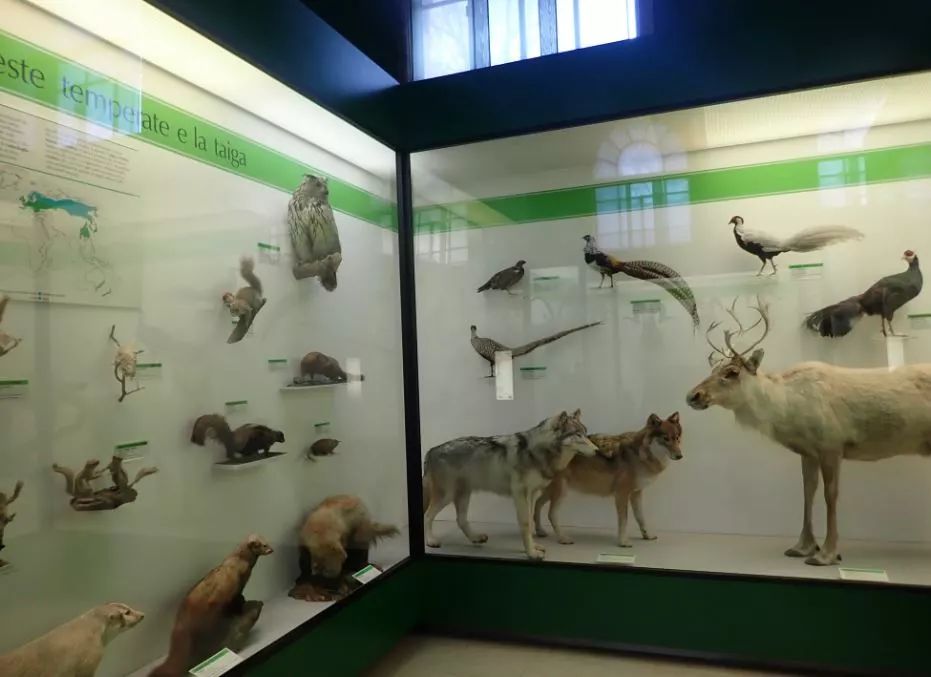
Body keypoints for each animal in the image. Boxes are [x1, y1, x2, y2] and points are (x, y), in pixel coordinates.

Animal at [422, 409, 597, 560]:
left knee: (461, 520)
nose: (597, 451)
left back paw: (475, 538)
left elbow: (530, 521)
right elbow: (526, 523)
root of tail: (431, 450)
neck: (537, 451)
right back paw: (431, 541)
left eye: (585, 433)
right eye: (577, 434)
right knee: (427, 515)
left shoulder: (531, 495)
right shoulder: (520, 494)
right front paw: (531, 553)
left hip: (464, 494)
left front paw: (534, 547)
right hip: (447, 495)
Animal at [534, 412, 682, 547]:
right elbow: (624, 521)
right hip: (561, 492)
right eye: (666, 438)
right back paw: (563, 538)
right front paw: (623, 542)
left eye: (677, 438)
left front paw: (647, 536)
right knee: (551, 514)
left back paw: (539, 531)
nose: (680, 456)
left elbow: (641, 518)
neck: (640, 455)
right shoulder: (621, 494)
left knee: (537, 504)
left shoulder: (636, 494)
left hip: (551, 492)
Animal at [685, 297, 931, 565]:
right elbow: (807, 492)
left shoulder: (832, 445)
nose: (693, 395)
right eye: (712, 370)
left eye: (731, 372)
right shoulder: (808, 452)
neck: (786, 408)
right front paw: (803, 547)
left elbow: (830, 495)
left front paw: (827, 553)